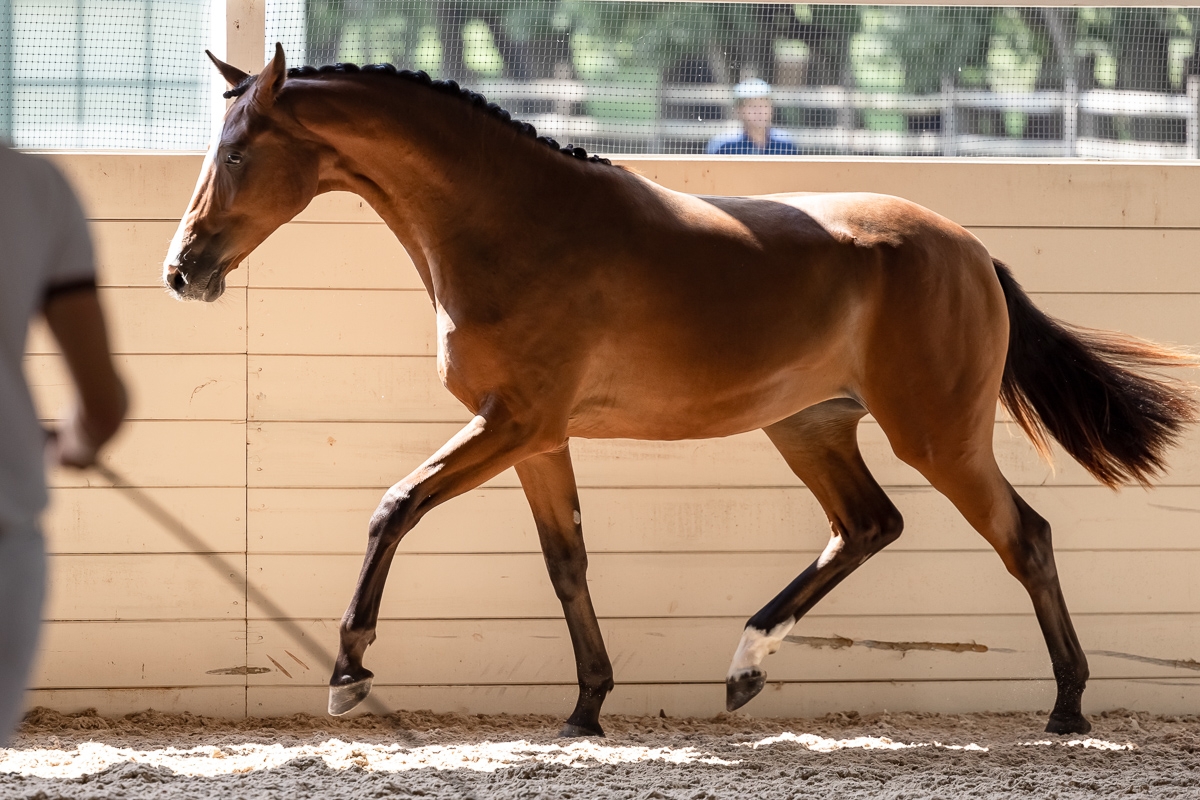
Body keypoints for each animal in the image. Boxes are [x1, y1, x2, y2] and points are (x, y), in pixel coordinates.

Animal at [165, 45, 1198, 738]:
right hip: (810, 427)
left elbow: (395, 507)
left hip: (938, 436)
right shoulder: (538, 438)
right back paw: (745, 668)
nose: (183, 272)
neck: (517, 224)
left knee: (1025, 537)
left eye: (240, 153)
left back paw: (1069, 707)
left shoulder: (511, 424)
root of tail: (970, 249)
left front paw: (348, 671)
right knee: (868, 525)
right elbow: (567, 564)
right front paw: (587, 707)